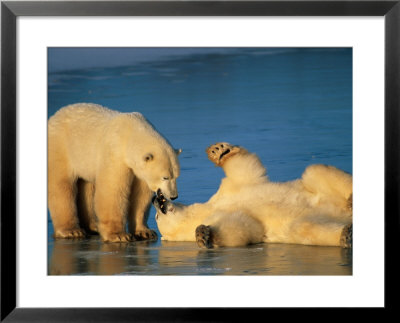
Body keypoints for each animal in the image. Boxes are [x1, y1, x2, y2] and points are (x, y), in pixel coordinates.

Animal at [47, 104, 182, 243]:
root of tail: (55, 116)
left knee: (87, 187)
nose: (173, 196)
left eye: (176, 176)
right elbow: (113, 191)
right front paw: (119, 235)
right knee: (62, 187)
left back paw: (93, 226)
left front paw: (145, 232)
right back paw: (71, 231)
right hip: (62, 148)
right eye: (165, 177)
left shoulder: (138, 172)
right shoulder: (115, 154)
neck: (130, 134)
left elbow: (140, 197)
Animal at [153, 143, 354, 249]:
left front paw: (219, 151)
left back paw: (351, 199)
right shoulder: (223, 215)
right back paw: (346, 234)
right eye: (156, 217)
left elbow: (242, 171)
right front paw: (202, 234)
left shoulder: (227, 190)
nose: (155, 197)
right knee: (305, 228)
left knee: (315, 171)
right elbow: (241, 229)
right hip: (312, 220)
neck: (204, 210)